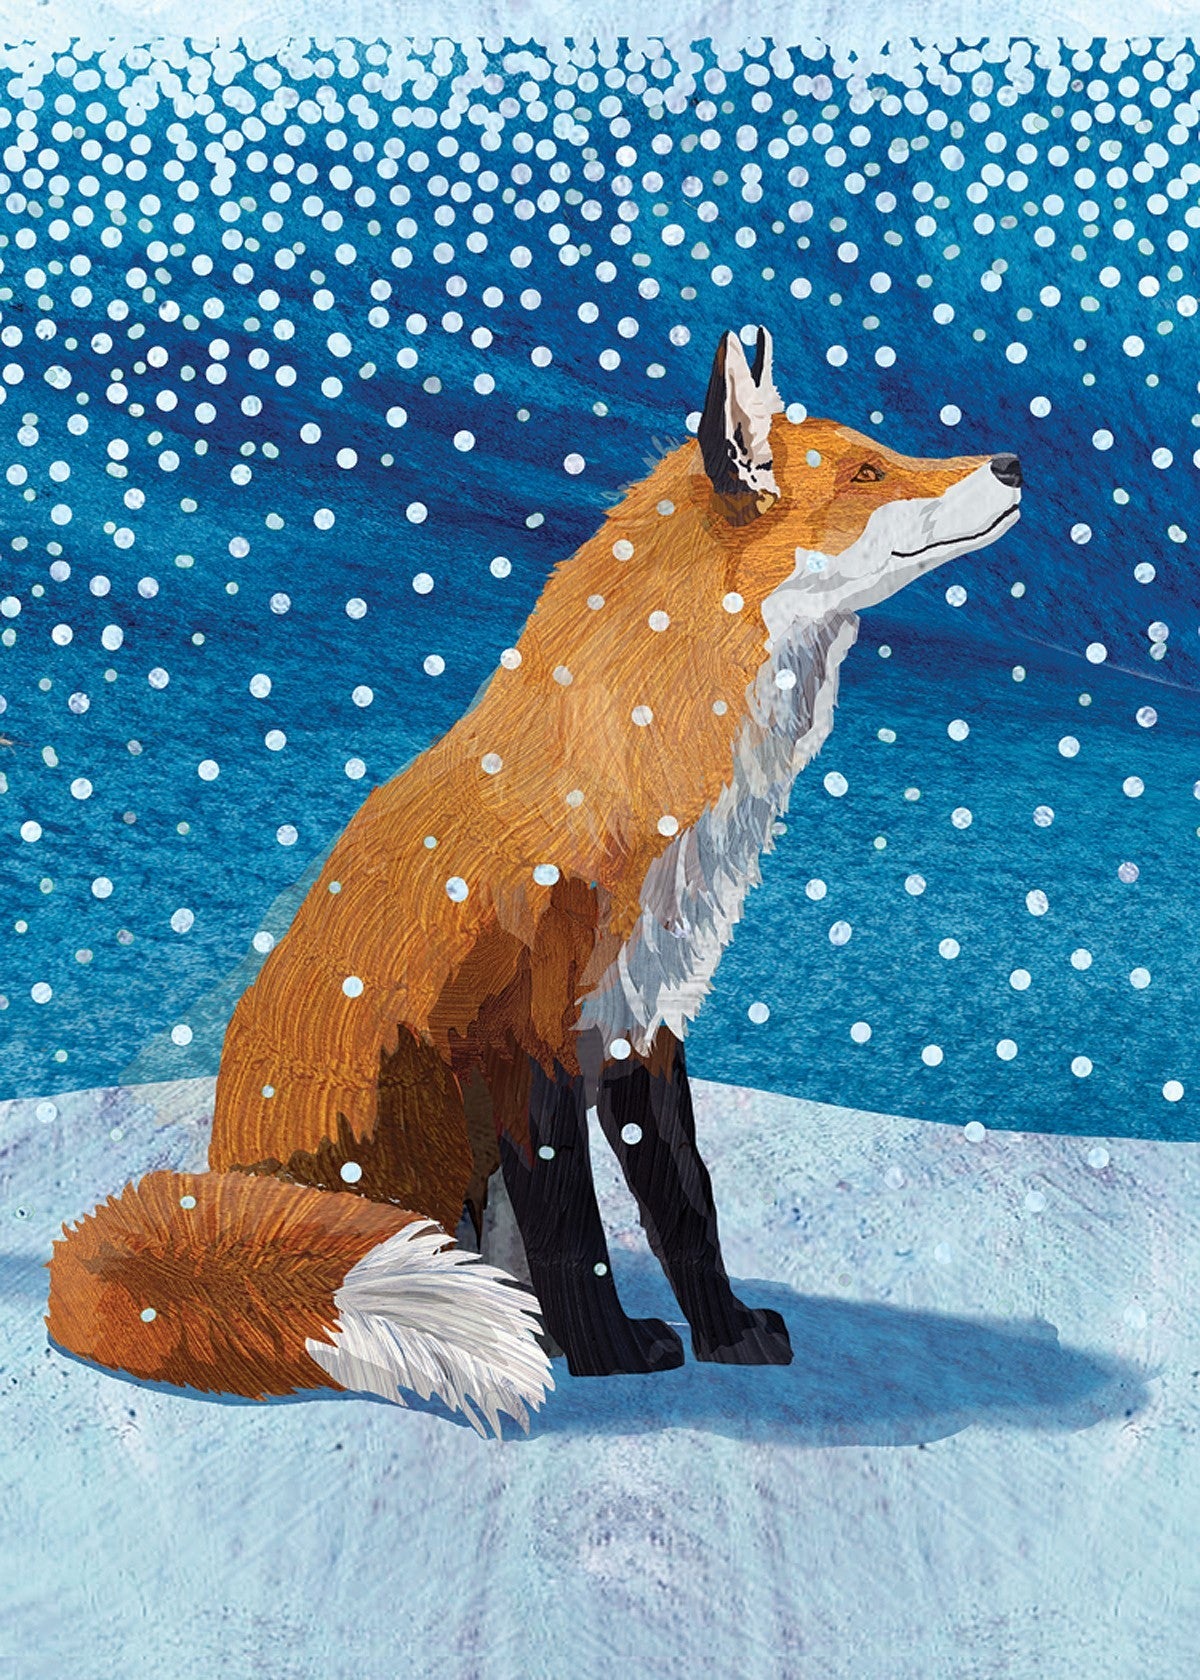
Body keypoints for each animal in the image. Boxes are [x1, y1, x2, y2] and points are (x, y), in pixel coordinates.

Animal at [46, 325, 1022, 1437]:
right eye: (868, 473)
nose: (1012, 462)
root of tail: (223, 1173)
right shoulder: (526, 1035)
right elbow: (575, 1230)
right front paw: (611, 1359)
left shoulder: (642, 1018)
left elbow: (687, 1205)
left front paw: (726, 1335)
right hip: (416, 1115)